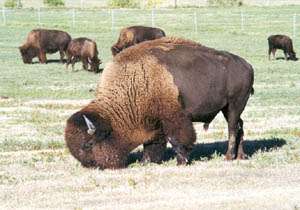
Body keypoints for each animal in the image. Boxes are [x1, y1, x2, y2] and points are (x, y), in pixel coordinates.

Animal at [64, 37, 254, 170]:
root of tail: (247, 65)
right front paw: (146, 162)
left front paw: (181, 161)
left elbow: (178, 139)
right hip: (227, 108)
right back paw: (241, 156)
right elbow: (153, 144)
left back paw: (228, 156)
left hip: (234, 105)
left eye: (88, 144)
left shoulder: (173, 117)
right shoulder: (153, 122)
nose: (92, 165)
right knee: (240, 127)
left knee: (232, 129)